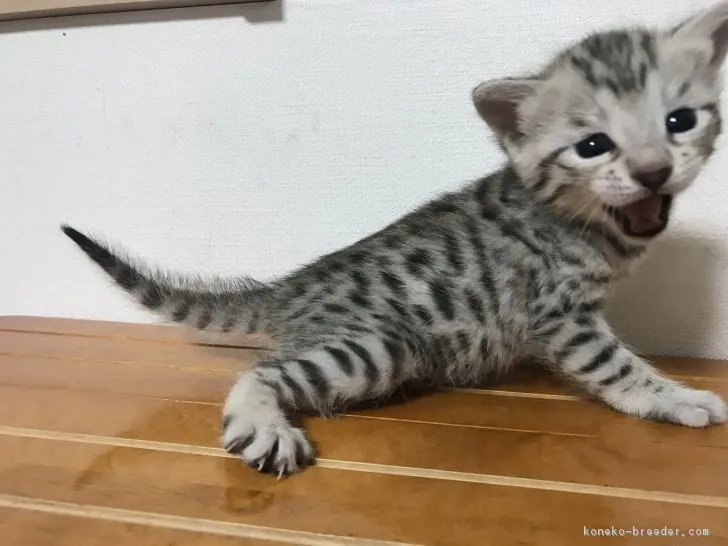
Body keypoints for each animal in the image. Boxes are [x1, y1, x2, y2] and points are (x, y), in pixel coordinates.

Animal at [61, 2, 728, 474]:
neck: (575, 217)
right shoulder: (560, 314)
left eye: (680, 122)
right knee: (262, 369)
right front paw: (676, 398)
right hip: (383, 343)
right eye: (593, 145)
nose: (652, 171)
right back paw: (265, 424)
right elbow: (616, 368)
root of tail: (291, 287)